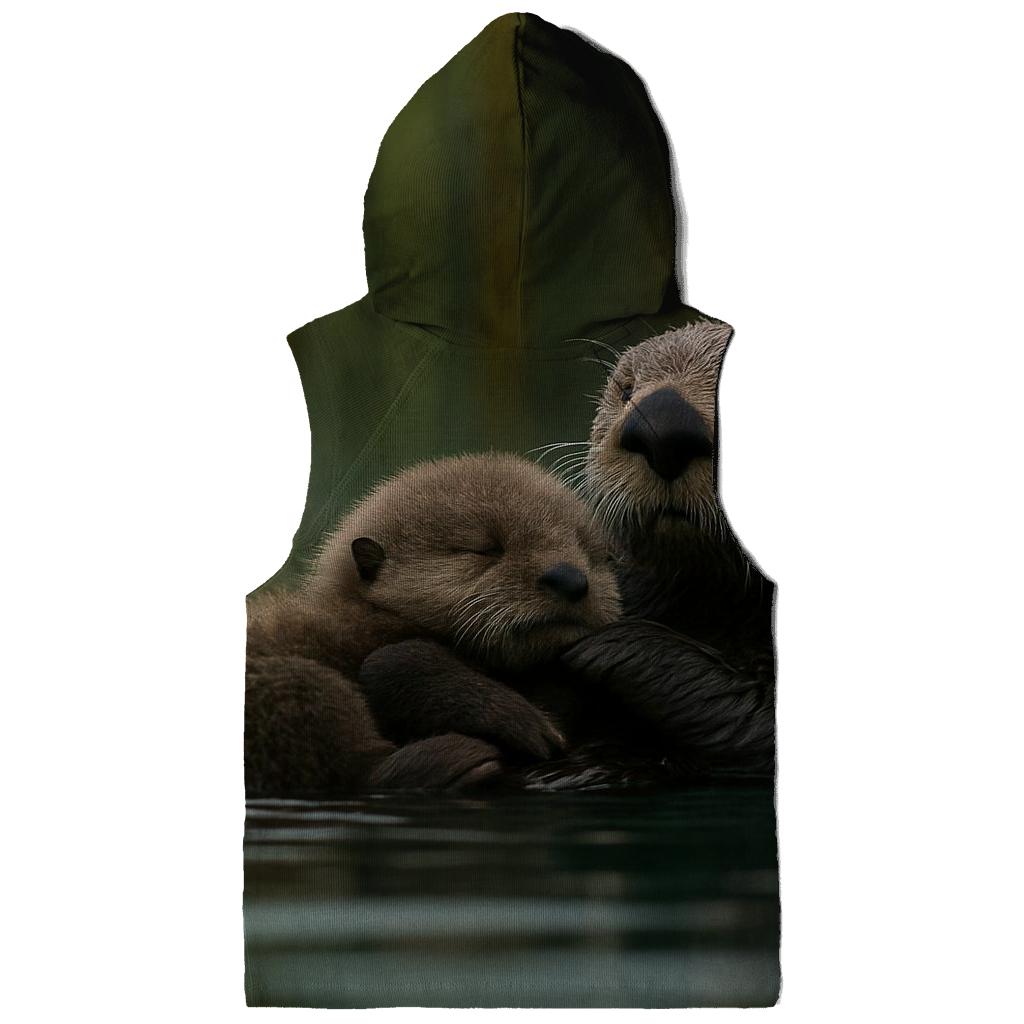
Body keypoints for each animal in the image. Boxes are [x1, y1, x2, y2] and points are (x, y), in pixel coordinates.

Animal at [246, 452, 622, 796]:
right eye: (485, 549)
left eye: (592, 553)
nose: (569, 577)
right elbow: (392, 664)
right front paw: (532, 725)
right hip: (294, 684)